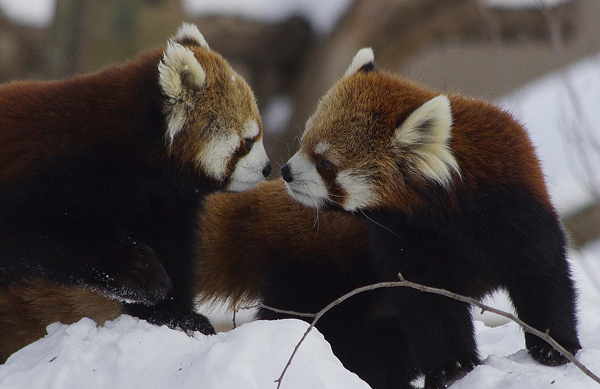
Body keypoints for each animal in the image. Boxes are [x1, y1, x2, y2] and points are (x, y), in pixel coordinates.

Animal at [0, 22, 272, 346]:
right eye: (248, 141)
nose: (269, 168)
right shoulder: (47, 187)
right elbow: (59, 241)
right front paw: (144, 276)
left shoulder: (163, 202)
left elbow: (173, 249)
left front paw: (175, 316)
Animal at [276, 48, 580, 388]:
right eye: (304, 142)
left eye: (326, 163)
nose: (286, 171)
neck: (443, 212)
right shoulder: (405, 238)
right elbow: (428, 305)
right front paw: (452, 367)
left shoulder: (514, 204)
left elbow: (542, 273)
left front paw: (554, 346)